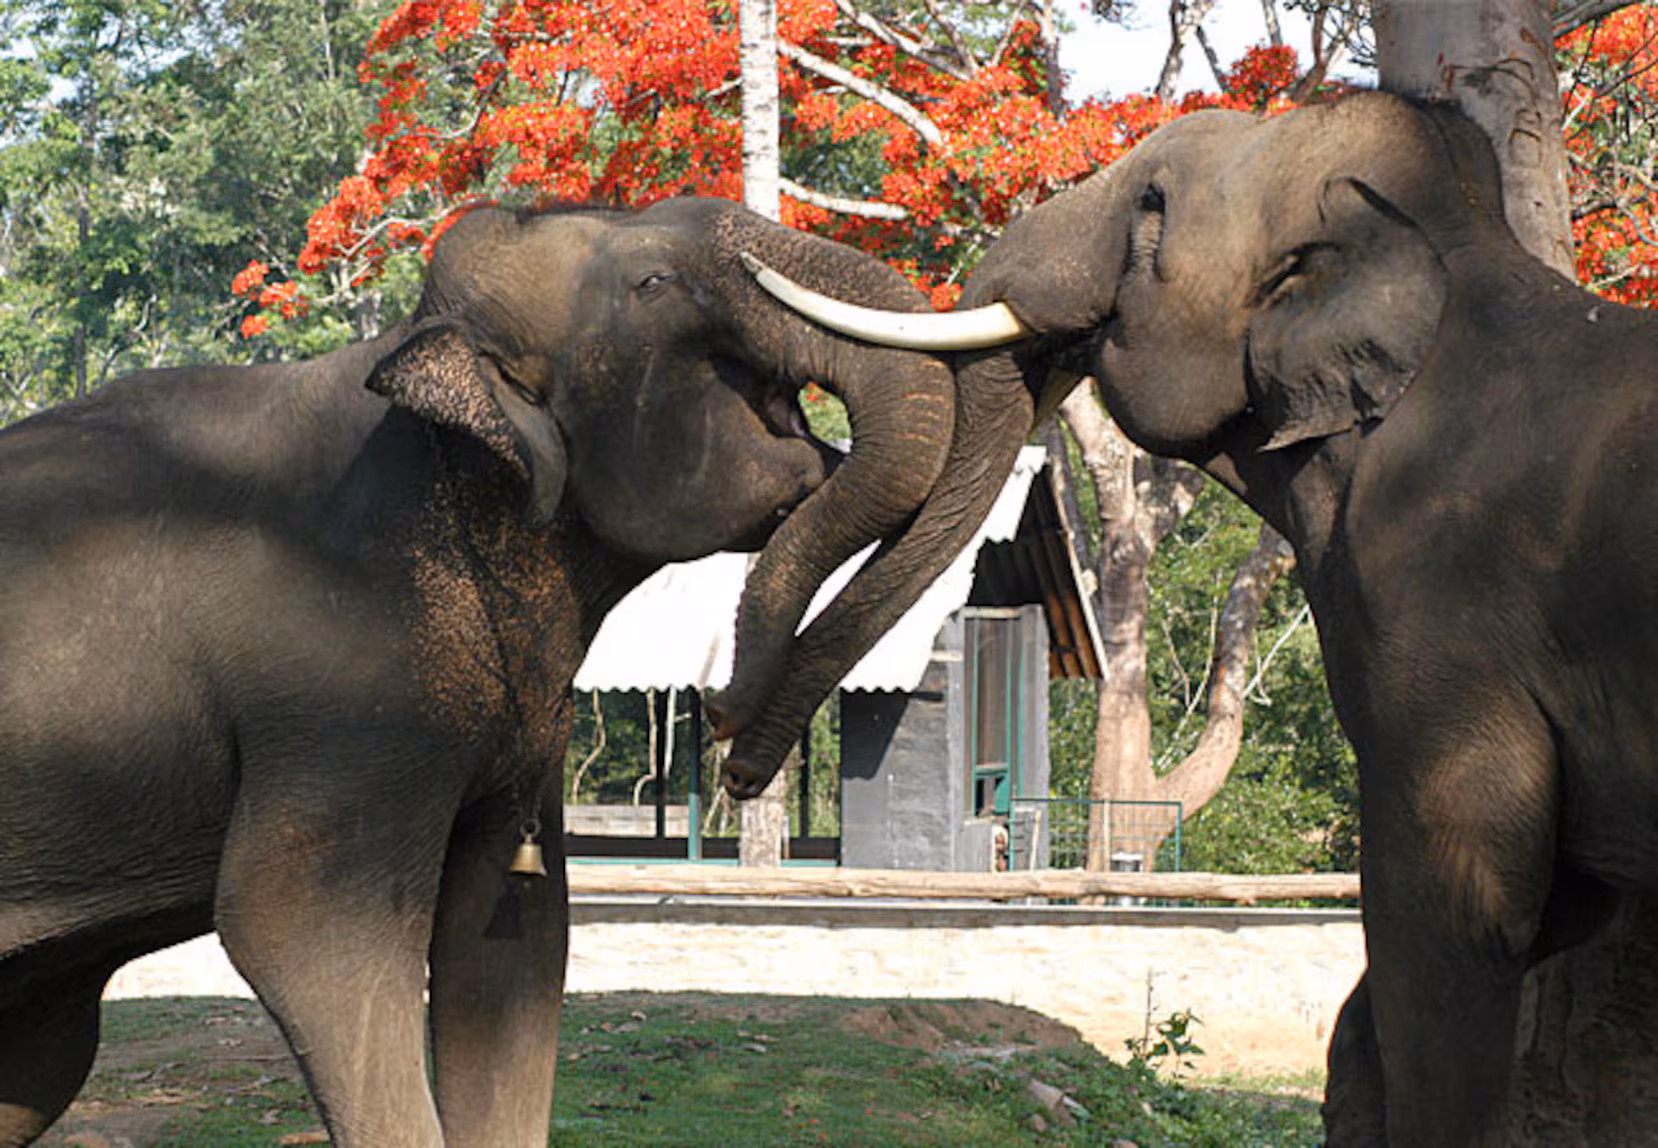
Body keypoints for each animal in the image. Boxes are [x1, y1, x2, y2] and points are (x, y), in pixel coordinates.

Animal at [0, 195, 952, 1148]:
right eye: (653, 282)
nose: (730, 739)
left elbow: (515, 941)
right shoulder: (336, 706)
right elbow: (293, 926)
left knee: (41, 1065)